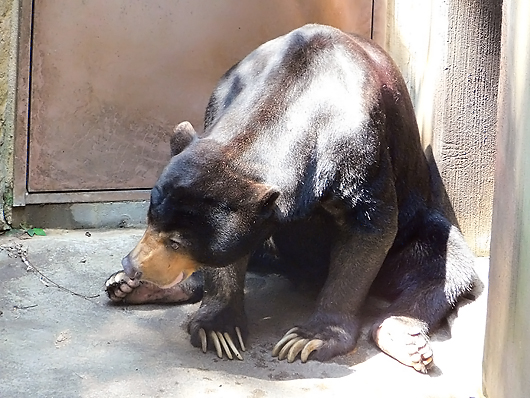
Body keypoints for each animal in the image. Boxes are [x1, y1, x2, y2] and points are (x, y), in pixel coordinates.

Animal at [104, 24, 474, 374]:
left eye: (178, 242)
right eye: (150, 218)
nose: (133, 264)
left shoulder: (362, 149)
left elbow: (371, 226)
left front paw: (308, 339)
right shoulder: (221, 100)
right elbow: (226, 259)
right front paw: (219, 329)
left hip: (417, 230)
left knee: (444, 261)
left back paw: (403, 336)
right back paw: (127, 286)